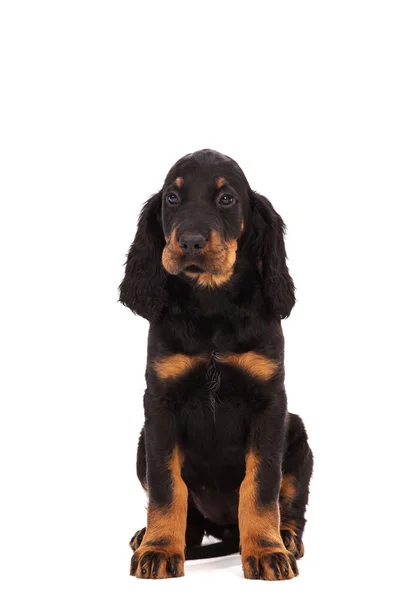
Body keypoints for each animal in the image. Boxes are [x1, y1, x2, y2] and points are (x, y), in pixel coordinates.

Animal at [119, 148, 312, 580]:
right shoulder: (160, 405)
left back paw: (286, 537)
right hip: (141, 443)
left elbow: (261, 486)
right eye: (172, 199)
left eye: (226, 199)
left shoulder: (269, 404)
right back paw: (152, 537)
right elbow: (166, 486)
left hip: (297, 435)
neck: (212, 305)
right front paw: (159, 549)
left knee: (292, 504)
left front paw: (266, 551)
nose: (190, 242)